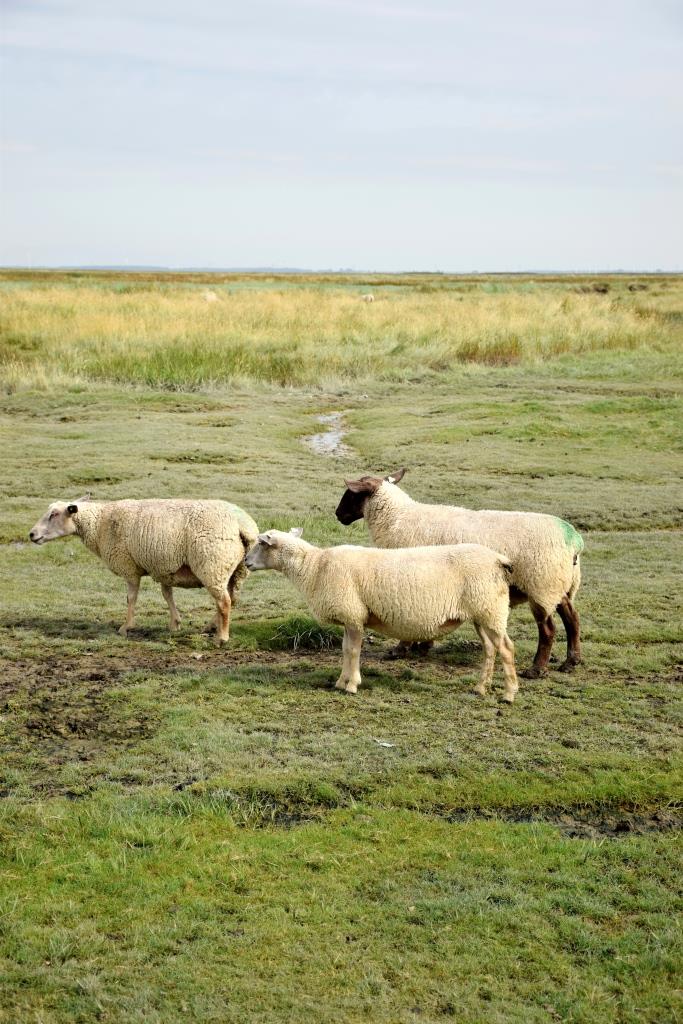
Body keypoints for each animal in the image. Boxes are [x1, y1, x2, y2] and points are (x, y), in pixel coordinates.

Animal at [29, 497, 258, 643]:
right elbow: (167, 595)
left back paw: (221, 637)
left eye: (54, 514)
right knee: (231, 598)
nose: (31, 534)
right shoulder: (164, 567)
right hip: (236, 570)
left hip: (212, 564)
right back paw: (213, 626)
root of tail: (242, 524)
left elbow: (131, 598)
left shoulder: (129, 567)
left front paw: (126, 627)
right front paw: (175, 623)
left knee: (224, 602)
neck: (99, 523)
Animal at [245, 528, 519, 702]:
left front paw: (352, 685)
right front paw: (340, 682)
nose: (246, 562)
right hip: (484, 612)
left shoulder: (353, 614)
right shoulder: (350, 617)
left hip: (490, 609)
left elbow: (353, 651)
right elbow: (345, 650)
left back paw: (508, 694)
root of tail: (498, 559)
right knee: (490, 649)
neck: (314, 568)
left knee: (506, 648)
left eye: (261, 543)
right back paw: (480, 688)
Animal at [335, 469, 584, 677]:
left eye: (352, 494)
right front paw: (423, 646)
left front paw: (402, 648)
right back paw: (571, 662)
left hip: (541, 584)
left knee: (548, 629)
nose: (338, 514)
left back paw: (537, 669)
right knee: (572, 618)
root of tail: (574, 540)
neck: (396, 519)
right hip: (559, 584)